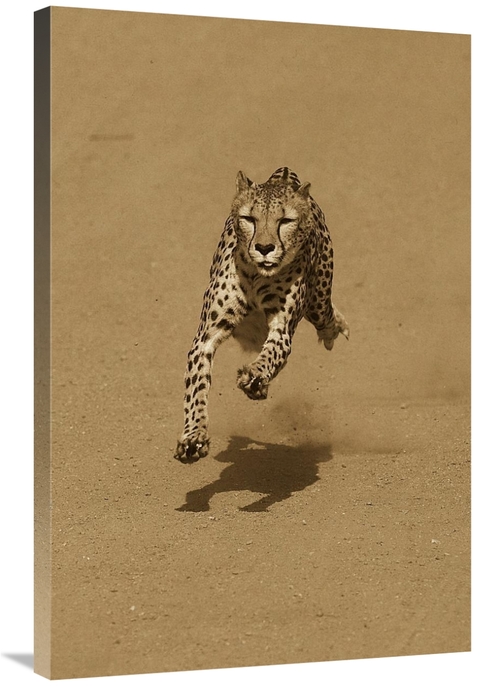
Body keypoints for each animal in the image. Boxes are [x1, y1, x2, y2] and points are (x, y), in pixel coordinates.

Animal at [174, 167, 349, 463]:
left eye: (285, 220)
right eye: (249, 218)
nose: (265, 248)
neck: (257, 275)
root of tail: (283, 173)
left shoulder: (282, 329)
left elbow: (271, 354)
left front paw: (253, 376)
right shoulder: (206, 338)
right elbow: (196, 387)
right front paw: (193, 437)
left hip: (317, 300)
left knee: (325, 314)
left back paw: (334, 328)